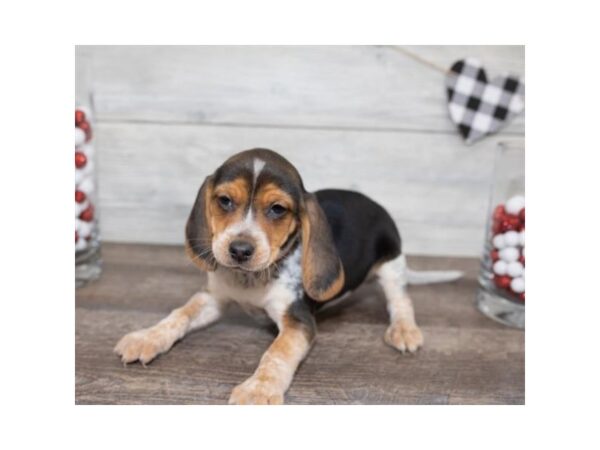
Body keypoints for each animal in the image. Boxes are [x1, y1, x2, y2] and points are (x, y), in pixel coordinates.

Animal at [113, 147, 460, 404]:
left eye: (277, 209)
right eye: (224, 201)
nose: (239, 250)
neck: (251, 279)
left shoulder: (298, 320)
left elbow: (276, 354)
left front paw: (258, 389)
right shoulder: (213, 298)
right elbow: (178, 315)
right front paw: (147, 337)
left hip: (391, 264)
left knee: (400, 300)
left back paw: (404, 330)